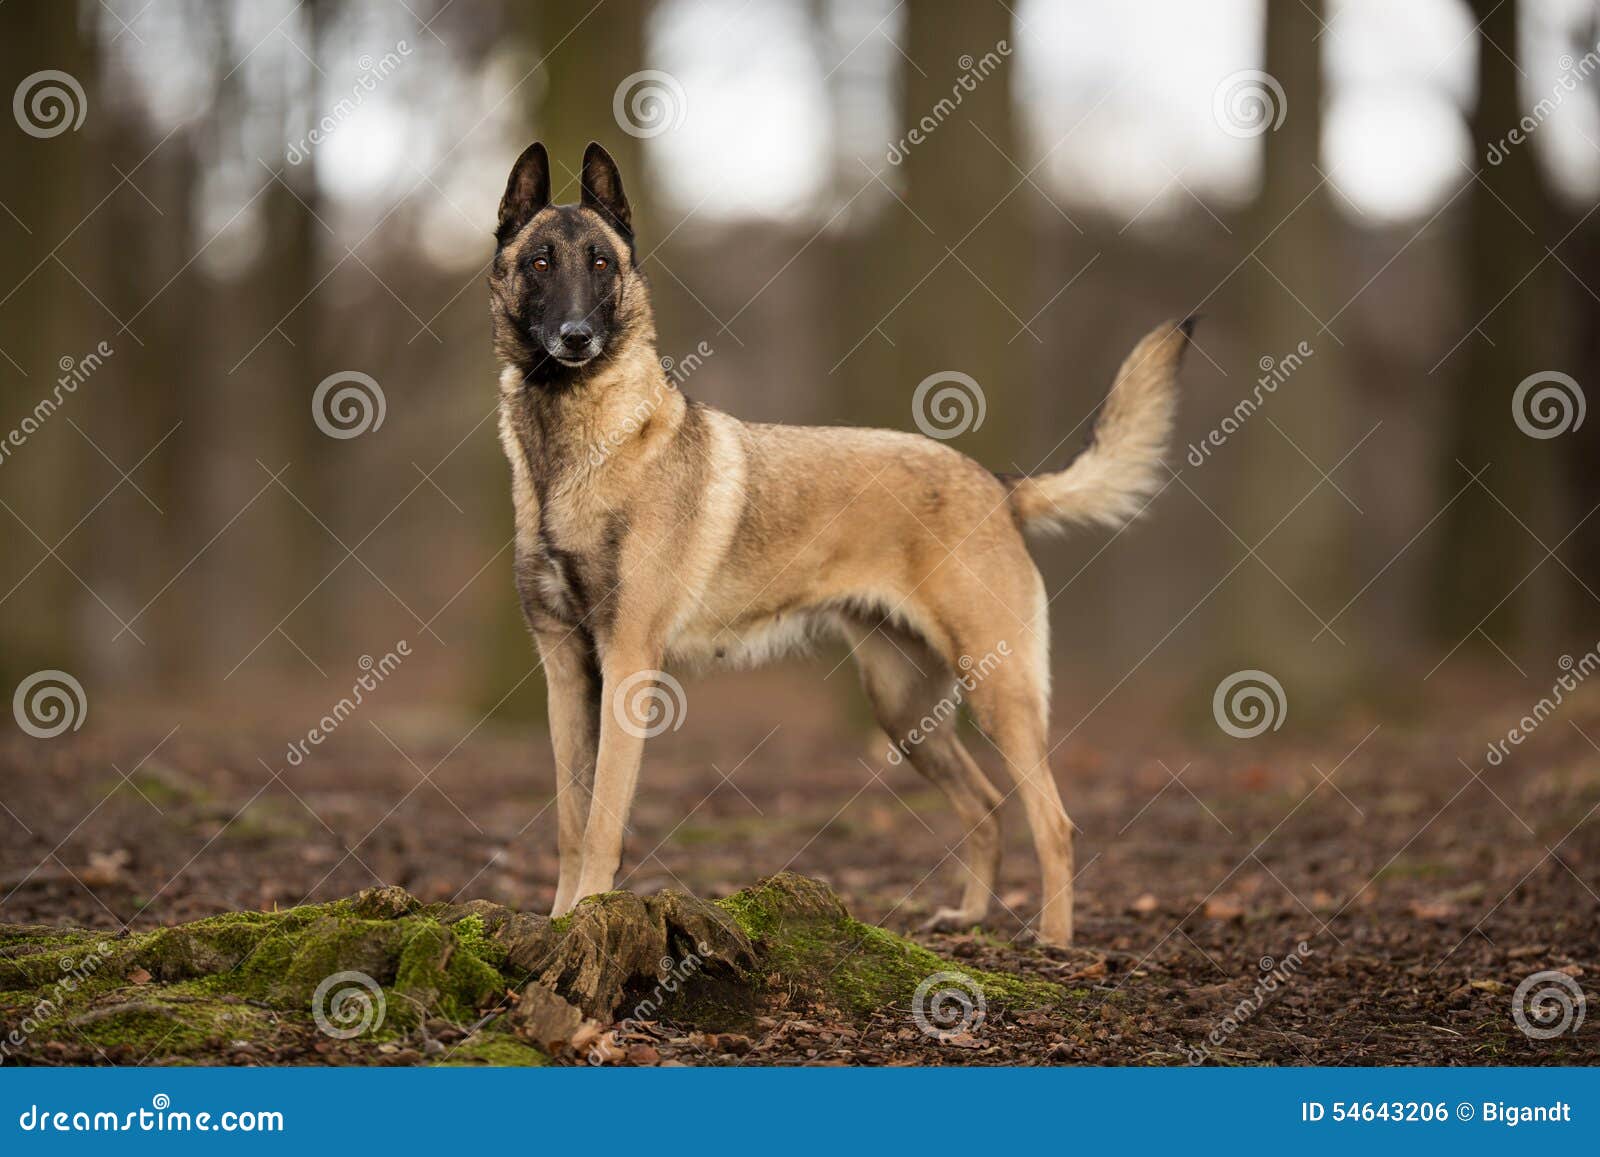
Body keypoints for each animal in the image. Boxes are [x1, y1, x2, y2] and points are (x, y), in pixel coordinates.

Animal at [486, 140, 1190, 947]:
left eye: (600, 263)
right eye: (540, 261)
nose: (576, 337)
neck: (576, 449)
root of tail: (997, 483)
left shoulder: (628, 667)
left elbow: (603, 821)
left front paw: (590, 915)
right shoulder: (567, 672)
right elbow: (570, 821)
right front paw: (560, 922)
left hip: (998, 691)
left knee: (1055, 820)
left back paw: (1053, 939)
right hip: (903, 710)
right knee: (986, 806)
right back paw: (968, 915)